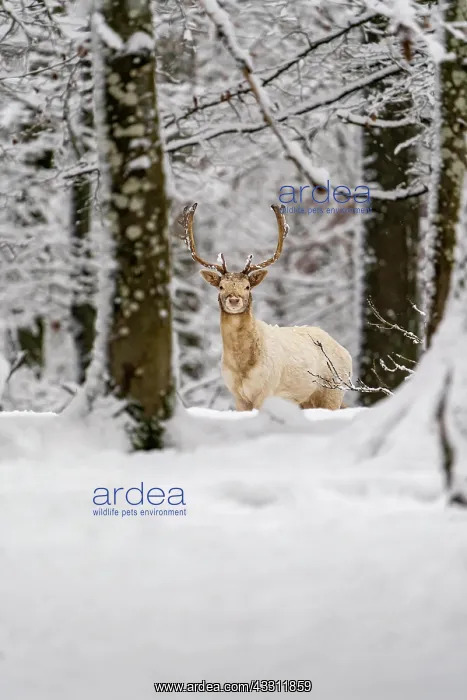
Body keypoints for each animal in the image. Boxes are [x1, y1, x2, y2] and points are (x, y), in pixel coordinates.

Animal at [181, 203, 352, 412]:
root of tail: (346, 352)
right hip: (307, 400)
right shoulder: (237, 396)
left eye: (247, 286)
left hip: (333, 390)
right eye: (221, 286)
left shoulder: (266, 390)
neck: (242, 367)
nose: (234, 300)